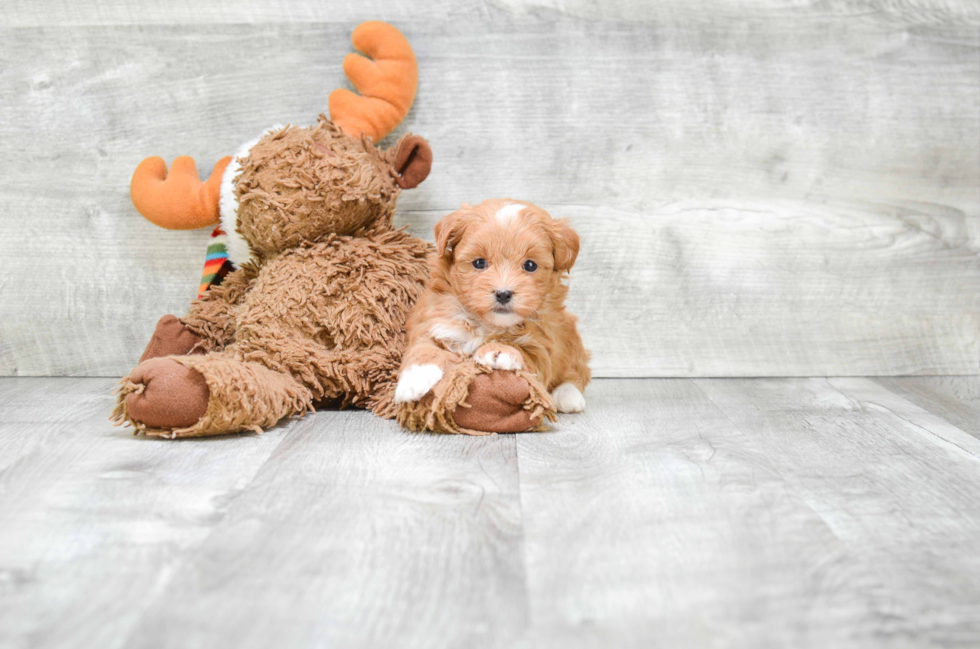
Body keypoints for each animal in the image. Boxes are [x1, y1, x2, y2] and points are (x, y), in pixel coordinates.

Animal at [392, 196, 588, 416]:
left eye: (530, 265)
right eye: (479, 263)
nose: (503, 293)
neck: (487, 323)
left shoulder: (543, 347)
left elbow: (525, 352)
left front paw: (500, 350)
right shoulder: (434, 321)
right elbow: (423, 347)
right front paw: (414, 379)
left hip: (571, 340)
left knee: (576, 372)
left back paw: (568, 396)